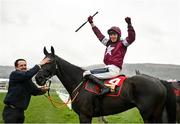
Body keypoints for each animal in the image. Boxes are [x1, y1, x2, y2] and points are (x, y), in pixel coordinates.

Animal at [34, 46, 176, 123]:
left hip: (149, 115)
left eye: (50, 61)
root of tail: (158, 81)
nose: (38, 78)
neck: (78, 83)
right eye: (42, 61)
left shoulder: (85, 116)